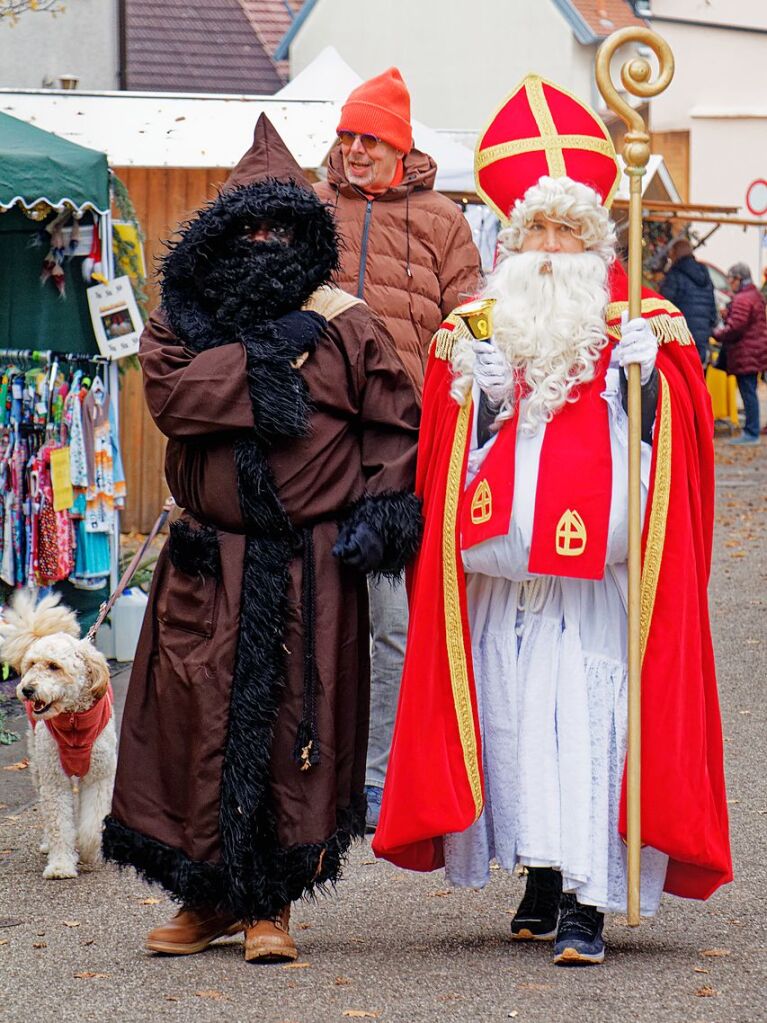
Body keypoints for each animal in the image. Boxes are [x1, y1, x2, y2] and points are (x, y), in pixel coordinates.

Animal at [0, 593, 115, 879]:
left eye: (54, 666)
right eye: (31, 665)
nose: (27, 689)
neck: (73, 719)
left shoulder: (99, 777)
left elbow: (92, 823)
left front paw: (88, 850)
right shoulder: (54, 779)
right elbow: (58, 823)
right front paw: (61, 865)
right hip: (38, 766)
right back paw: (45, 844)